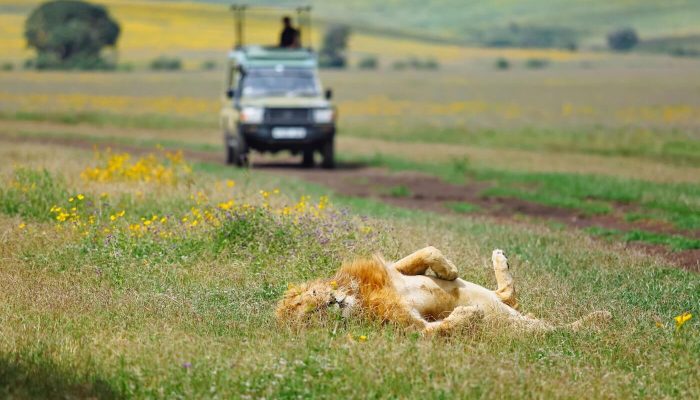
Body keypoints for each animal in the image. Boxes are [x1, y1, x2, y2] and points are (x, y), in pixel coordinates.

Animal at [276, 247, 608, 334]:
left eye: (312, 300)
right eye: (310, 317)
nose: (331, 302)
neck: (359, 298)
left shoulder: (394, 271)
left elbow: (426, 253)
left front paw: (448, 269)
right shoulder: (412, 328)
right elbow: (440, 329)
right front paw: (469, 314)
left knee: (507, 294)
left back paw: (500, 258)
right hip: (526, 329)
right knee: (558, 330)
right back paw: (600, 318)